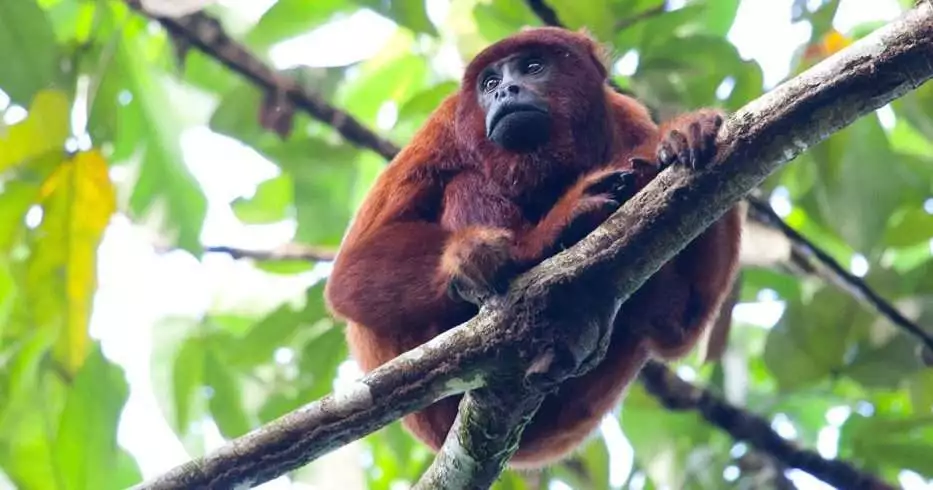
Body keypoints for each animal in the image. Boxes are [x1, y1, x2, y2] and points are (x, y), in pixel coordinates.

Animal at [324, 27, 742, 468]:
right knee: (465, 182)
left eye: (533, 66)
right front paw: (493, 252)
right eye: (489, 83)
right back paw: (537, 247)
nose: (506, 90)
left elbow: (681, 324)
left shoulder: (628, 118)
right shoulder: (443, 128)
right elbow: (348, 276)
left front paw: (686, 132)